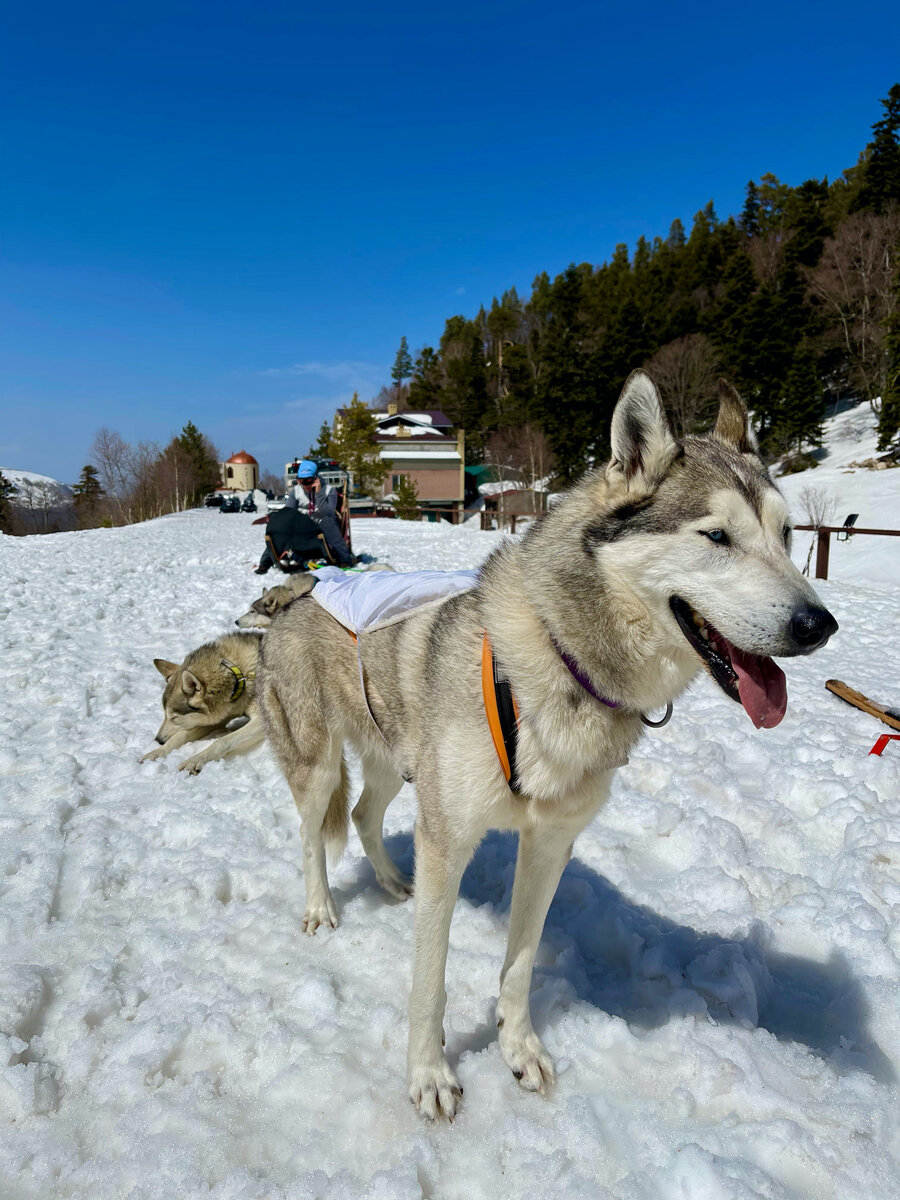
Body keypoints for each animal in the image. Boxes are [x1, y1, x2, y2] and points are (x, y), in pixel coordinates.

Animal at [141, 633, 266, 772]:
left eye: (174, 718)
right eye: (163, 714)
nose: (157, 740)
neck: (239, 678)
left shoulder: (262, 721)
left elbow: (221, 741)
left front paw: (194, 760)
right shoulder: (217, 718)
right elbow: (180, 736)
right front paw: (157, 752)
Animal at [255, 372, 840, 1113]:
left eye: (787, 535)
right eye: (716, 536)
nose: (818, 624)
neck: (562, 659)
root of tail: (294, 593)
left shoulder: (549, 844)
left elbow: (520, 963)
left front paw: (519, 1049)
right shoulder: (449, 842)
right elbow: (429, 982)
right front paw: (429, 1075)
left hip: (394, 761)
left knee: (363, 814)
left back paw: (391, 882)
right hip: (320, 766)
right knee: (311, 834)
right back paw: (320, 908)